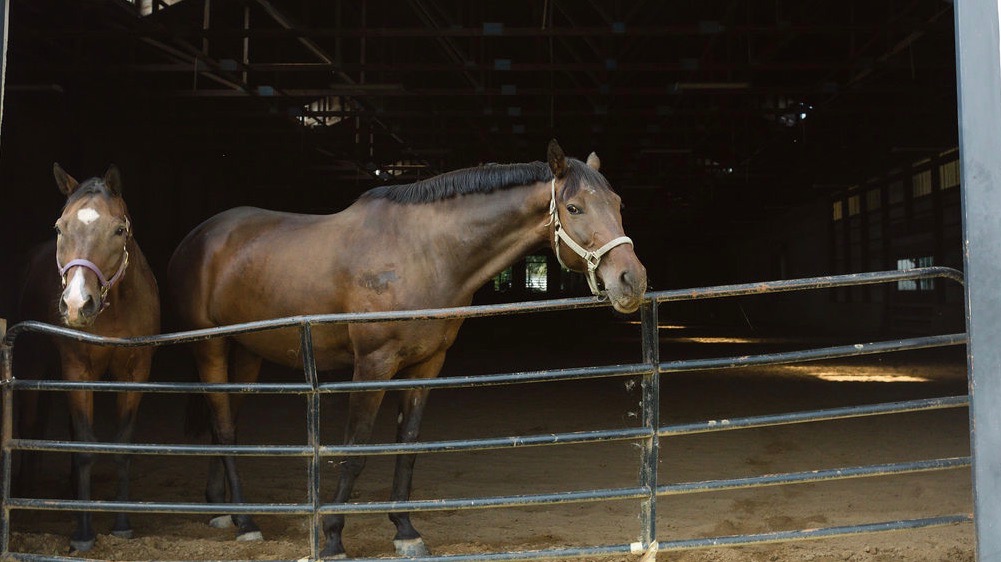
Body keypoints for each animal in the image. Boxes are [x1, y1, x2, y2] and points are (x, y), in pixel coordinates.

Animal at [15, 164, 160, 548]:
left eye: (119, 229)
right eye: (59, 228)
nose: (77, 304)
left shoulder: (135, 372)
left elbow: (121, 446)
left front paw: (122, 525)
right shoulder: (77, 370)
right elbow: (84, 447)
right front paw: (82, 532)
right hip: (34, 364)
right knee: (30, 423)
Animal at [167, 141, 644, 556]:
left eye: (618, 204)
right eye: (574, 207)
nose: (632, 280)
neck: (423, 252)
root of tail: (197, 237)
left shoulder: (427, 364)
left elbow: (408, 445)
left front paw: (405, 531)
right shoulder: (372, 366)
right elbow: (357, 447)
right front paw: (333, 537)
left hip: (247, 352)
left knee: (227, 419)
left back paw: (225, 510)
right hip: (210, 346)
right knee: (223, 425)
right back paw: (246, 523)